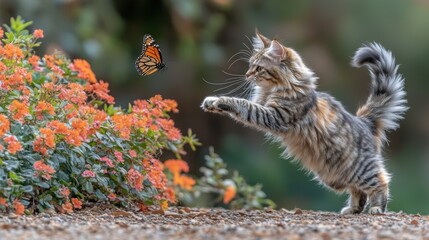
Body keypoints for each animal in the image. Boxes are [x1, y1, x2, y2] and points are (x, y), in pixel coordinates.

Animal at [202, 31, 406, 214]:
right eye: (250, 65)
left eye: (258, 68)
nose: (247, 75)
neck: (274, 89)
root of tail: (364, 120)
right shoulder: (263, 106)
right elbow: (243, 105)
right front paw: (212, 102)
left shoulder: (274, 115)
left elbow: (243, 104)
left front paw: (221, 101)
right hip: (337, 174)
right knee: (358, 189)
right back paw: (353, 209)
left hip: (359, 167)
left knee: (381, 180)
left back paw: (377, 208)